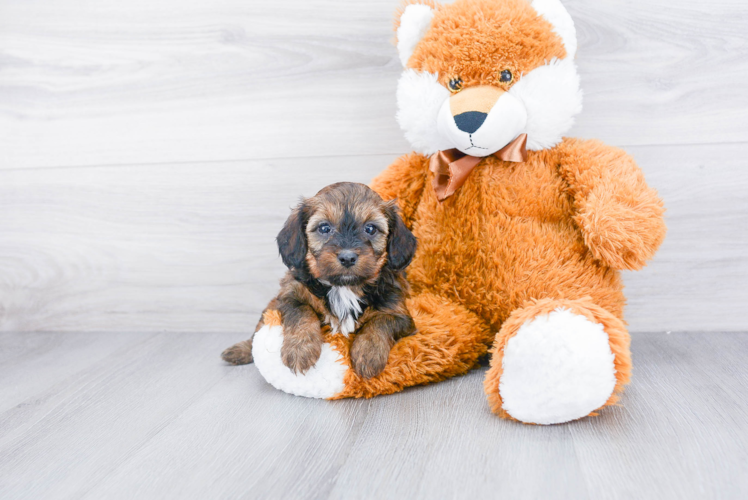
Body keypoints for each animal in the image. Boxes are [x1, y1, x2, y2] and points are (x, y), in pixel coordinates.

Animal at [222, 183, 420, 378]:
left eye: (370, 228)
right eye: (324, 228)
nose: (347, 257)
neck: (344, 288)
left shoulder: (399, 312)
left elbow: (381, 322)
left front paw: (368, 353)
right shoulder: (289, 294)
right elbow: (301, 312)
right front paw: (300, 350)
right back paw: (239, 350)